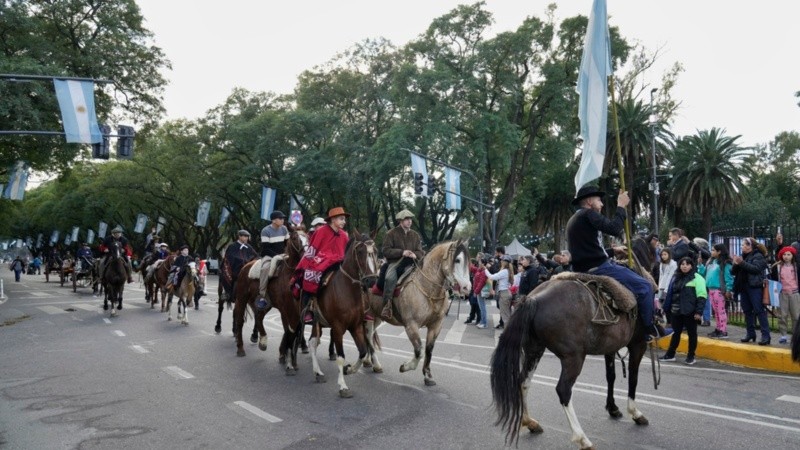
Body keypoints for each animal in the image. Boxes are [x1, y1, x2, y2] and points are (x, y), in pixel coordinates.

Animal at [231, 229, 310, 370]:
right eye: (295, 238)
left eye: (308, 237)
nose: (307, 255)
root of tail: (246, 266)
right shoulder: (285, 309)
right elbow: (288, 330)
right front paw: (286, 357)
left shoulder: (297, 310)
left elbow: (294, 330)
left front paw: (285, 355)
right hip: (242, 298)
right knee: (239, 321)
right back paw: (240, 348)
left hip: (266, 303)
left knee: (259, 317)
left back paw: (262, 341)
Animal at [306, 232, 382, 398]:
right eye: (360, 251)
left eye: (376, 251)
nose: (371, 281)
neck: (347, 291)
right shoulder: (338, 327)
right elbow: (341, 357)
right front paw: (343, 386)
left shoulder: (356, 326)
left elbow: (363, 351)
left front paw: (350, 369)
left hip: (318, 323)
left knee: (313, 342)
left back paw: (318, 372)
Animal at [366, 239, 472, 386]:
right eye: (457, 260)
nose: (467, 288)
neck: (428, 290)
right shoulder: (411, 325)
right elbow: (419, 351)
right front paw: (405, 366)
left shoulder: (435, 325)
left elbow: (428, 350)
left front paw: (428, 375)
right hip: (368, 315)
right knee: (367, 336)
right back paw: (375, 364)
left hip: (377, 317)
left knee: (368, 336)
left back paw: (368, 361)